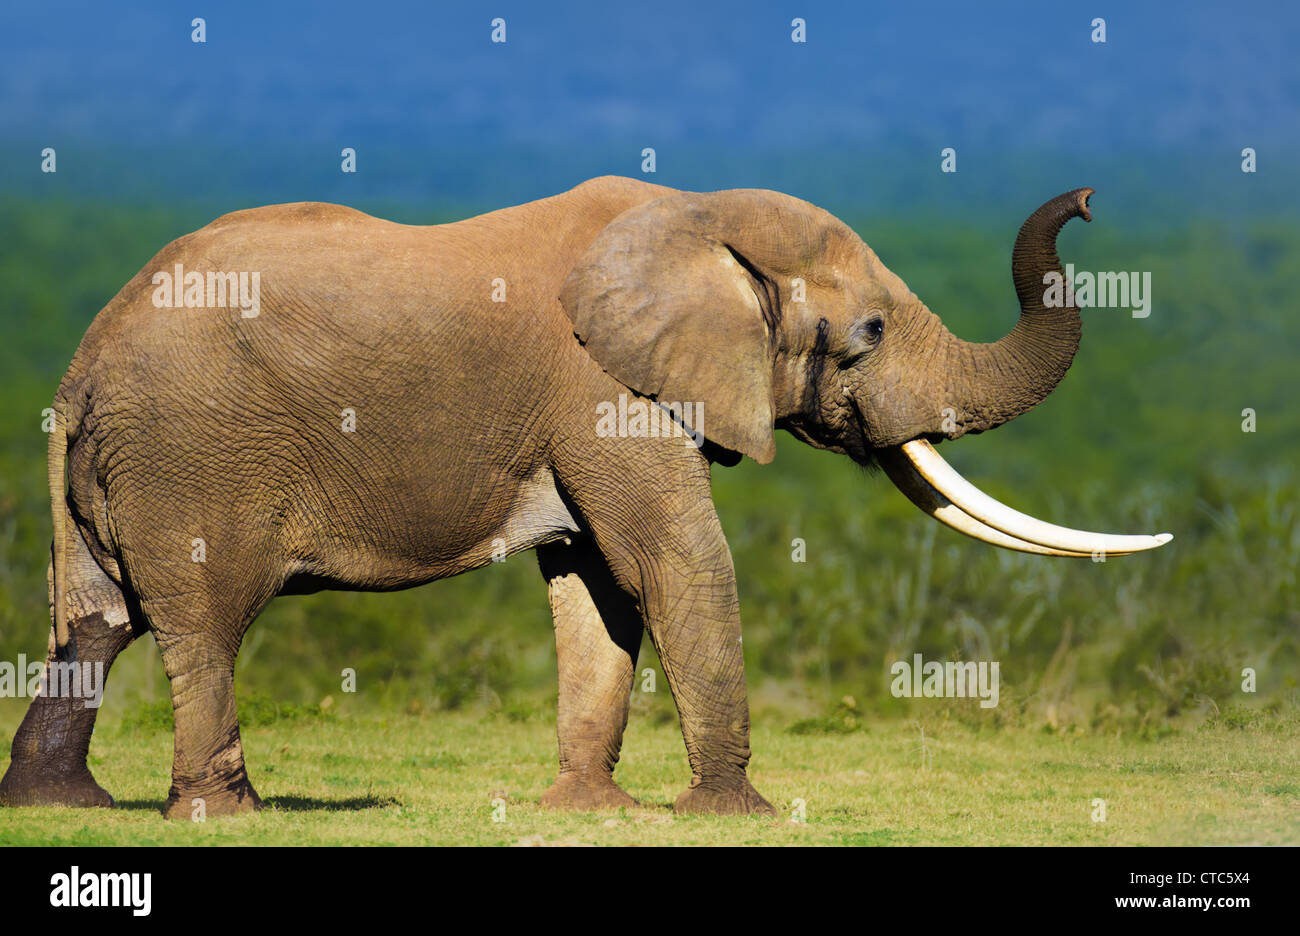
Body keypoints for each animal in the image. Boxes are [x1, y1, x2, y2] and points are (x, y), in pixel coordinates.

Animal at [0, 176, 1170, 821]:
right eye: (871, 332)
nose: (1087, 202)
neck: (693, 215)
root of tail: (82, 364)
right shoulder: (606, 390)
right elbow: (676, 561)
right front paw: (736, 812)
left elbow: (596, 586)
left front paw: (590, 810)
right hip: (191, 456)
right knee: (201, 621)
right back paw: (225, 813)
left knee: (96, 624)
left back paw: (64, 806)